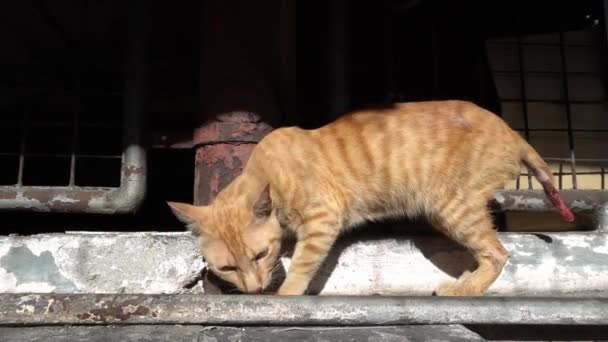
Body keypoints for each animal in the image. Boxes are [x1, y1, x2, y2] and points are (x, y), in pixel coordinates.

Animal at [167, 100, 576, 296]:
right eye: (227, 267)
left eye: (259, 255)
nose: (252, 288)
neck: (268, 173)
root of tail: (514, 133)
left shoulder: (323, 218)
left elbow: (302, 264)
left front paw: (286, 293)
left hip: (452, 208)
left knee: (498, 253)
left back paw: (463, 289)